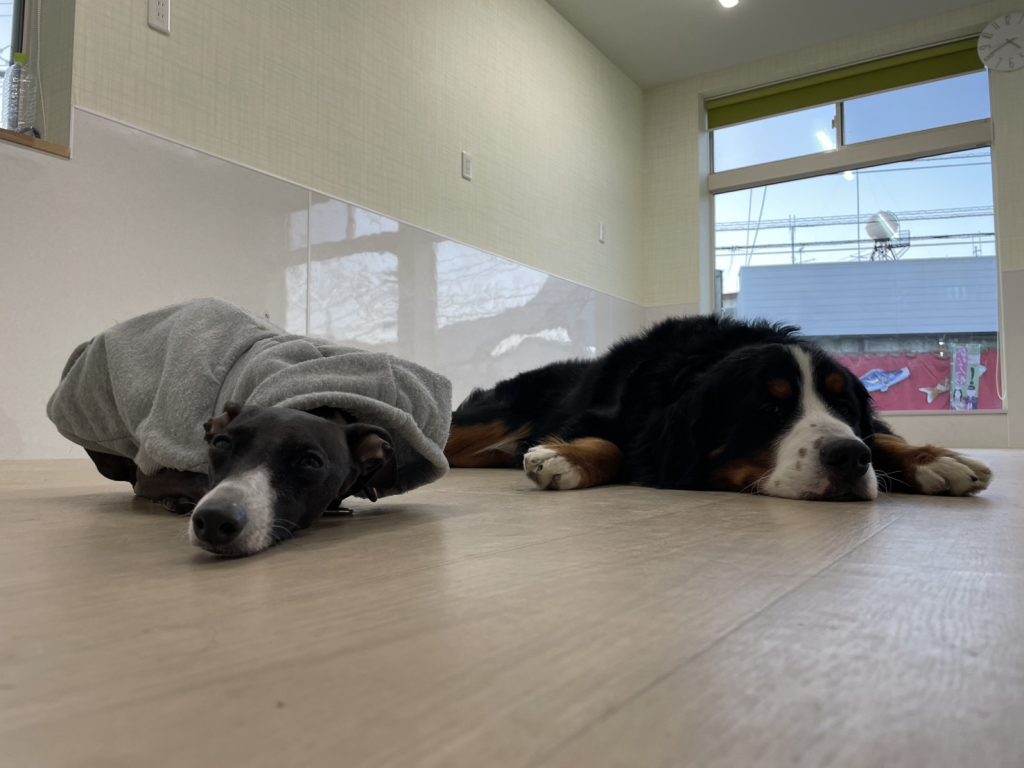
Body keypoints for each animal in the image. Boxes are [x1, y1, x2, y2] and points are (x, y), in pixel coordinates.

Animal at [445, 315, 992, 500]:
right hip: (496, 415)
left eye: (843, 403)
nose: (848, 458)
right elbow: (614, 445)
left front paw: (937, 460)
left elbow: (881, 436)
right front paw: (565, 458)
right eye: (768, 409)